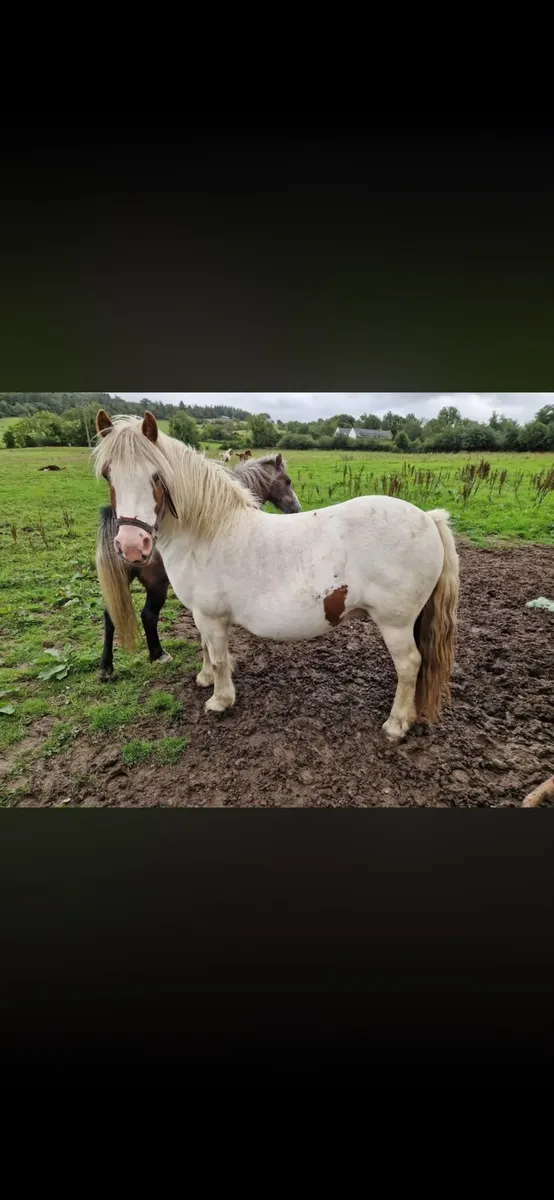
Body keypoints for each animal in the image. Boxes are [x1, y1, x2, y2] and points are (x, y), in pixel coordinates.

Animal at [96, 448, 301, 680]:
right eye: (287, 481)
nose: (296, 507)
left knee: (111, 616)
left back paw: (107, 666)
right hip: (158, 584)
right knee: (148, 615)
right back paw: (158, 654)